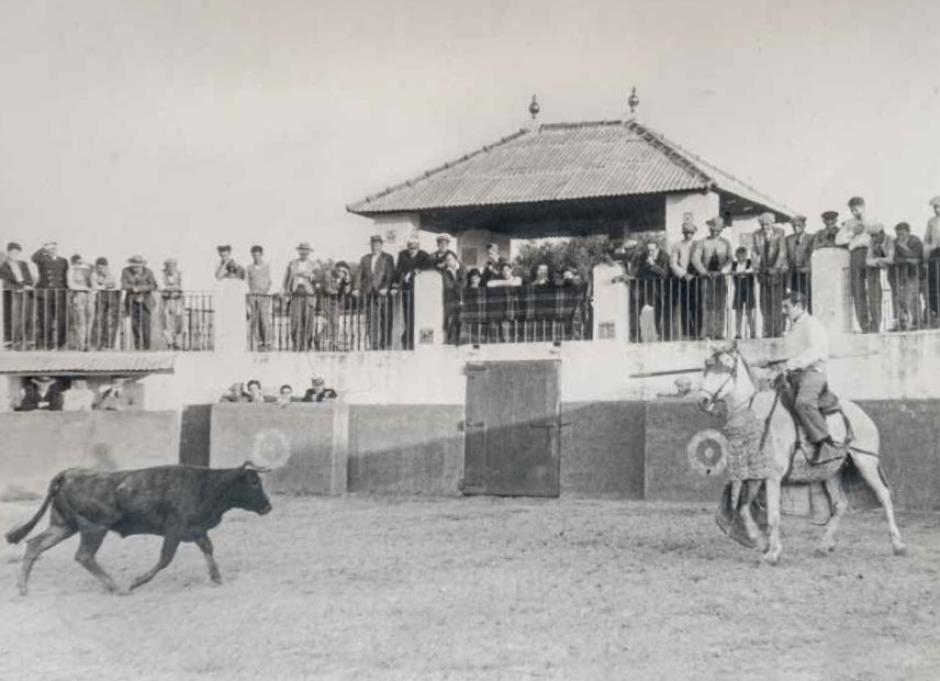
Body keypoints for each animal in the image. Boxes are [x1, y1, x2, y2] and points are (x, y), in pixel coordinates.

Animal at [6, 462, 272, 596]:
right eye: (254, 482)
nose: (268, 506)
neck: (207, 486)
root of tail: (68, 473)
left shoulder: (196, 530)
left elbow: (207, 548)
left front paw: (216, 577)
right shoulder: (174, 531)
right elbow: (165, 559)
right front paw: (136, 582)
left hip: (63, 525)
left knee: (35, 544)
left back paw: (23, 588)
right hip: (94, 527)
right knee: (84, 555)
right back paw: (117, 587)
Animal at [696, 340, 904, 564]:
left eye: (727, 367)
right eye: (707, 365)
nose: (703, 400)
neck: (755, 414)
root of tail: (862, 414)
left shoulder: (773, 476)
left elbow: (773, 515)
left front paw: (773, 553)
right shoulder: (754, 475)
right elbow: (743, 508)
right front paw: (761, 543)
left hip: (866, 461)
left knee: (884, 495)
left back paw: (898, 545)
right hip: (831, 471)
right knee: (840, 504)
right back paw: (824, 545)